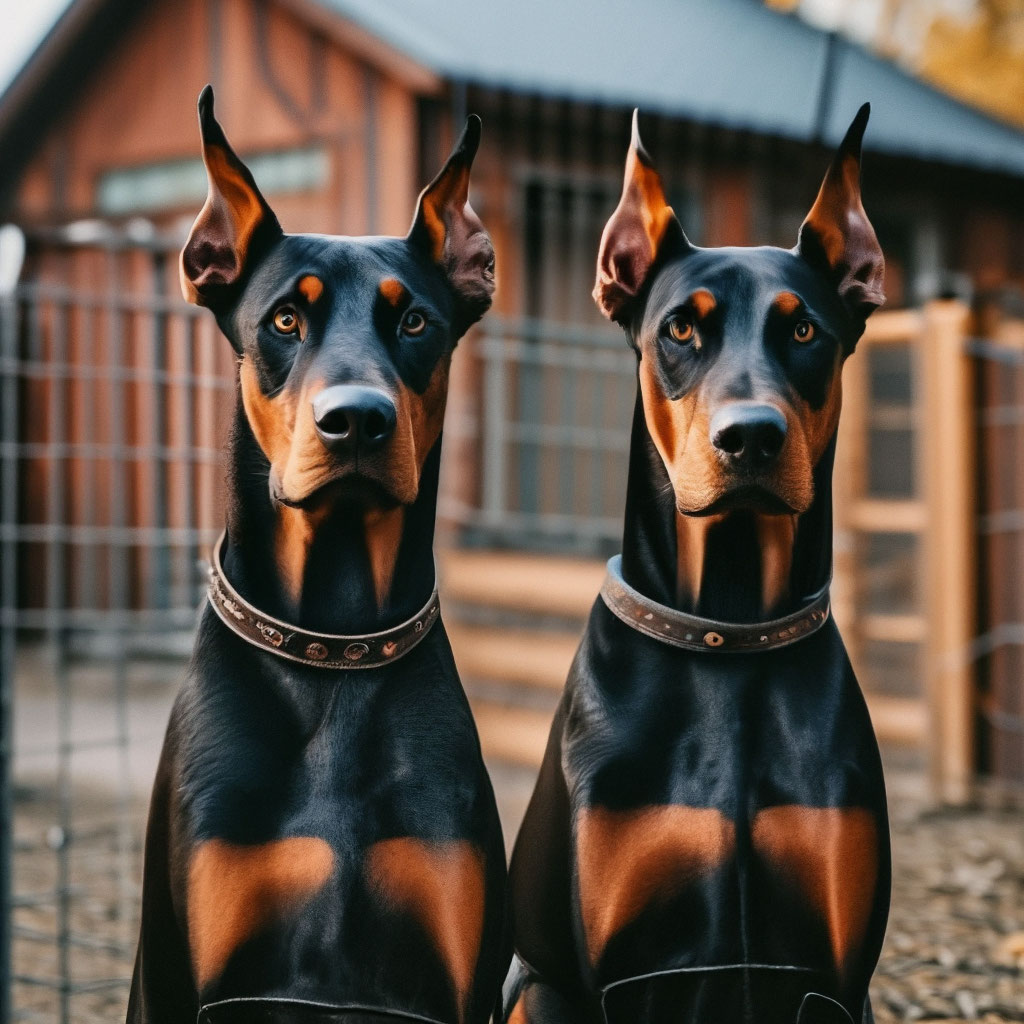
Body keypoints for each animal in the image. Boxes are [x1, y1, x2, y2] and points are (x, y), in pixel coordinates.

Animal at [507, 105, 892, 1024]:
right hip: (531, 986)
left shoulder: (835, 976)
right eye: (681, 327)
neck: (728, 628)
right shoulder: (617, 975)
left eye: (804, 329)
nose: (750, 437)